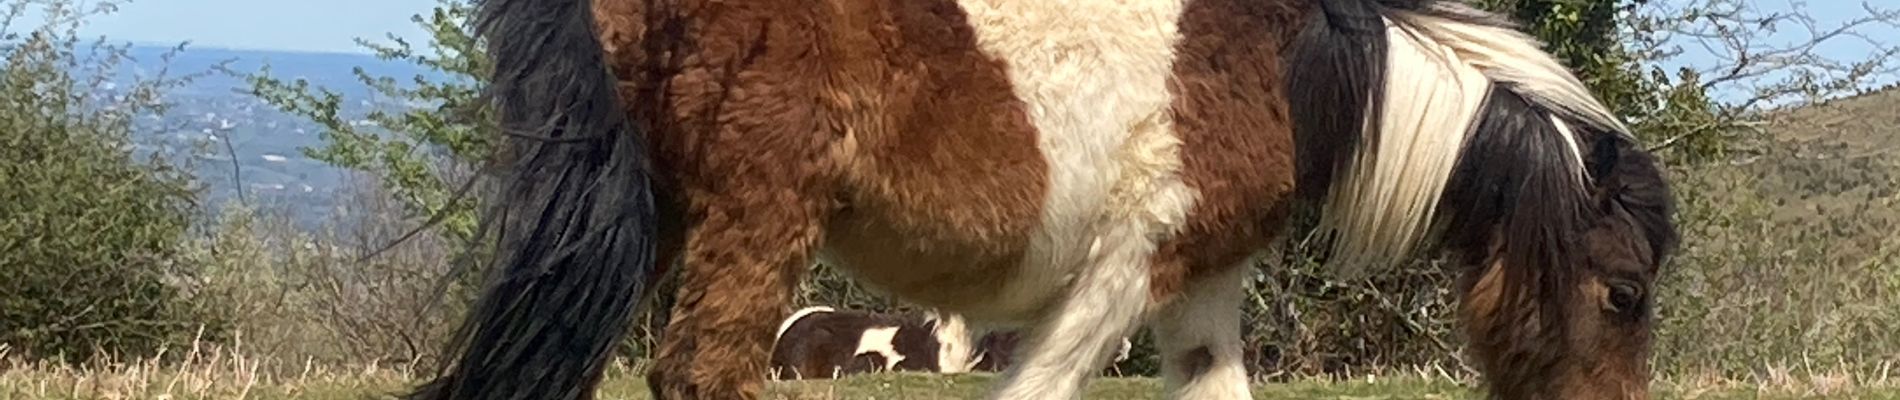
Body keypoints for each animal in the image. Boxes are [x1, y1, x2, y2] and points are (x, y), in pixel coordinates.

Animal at [404, 0, 1679, 396]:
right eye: (1622, 295)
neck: (1278, 64)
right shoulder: (1121, 272)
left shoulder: (1198, 288)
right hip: (754, 216)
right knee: (702, 372)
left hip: (653, 215)